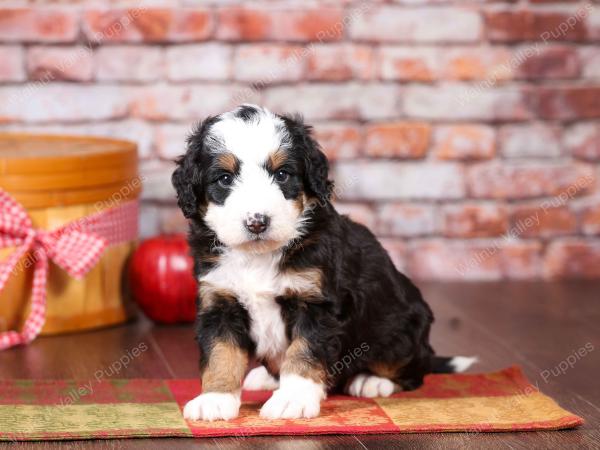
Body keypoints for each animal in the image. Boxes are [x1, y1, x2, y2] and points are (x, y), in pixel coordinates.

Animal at [170, 105, 474, 422]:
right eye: (225, 179)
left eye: (283, 174)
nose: (257, 222)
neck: (259, 255)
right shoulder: (219, 301)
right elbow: (221, 354)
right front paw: (214, 399)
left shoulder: (316, 302)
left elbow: (304, 353)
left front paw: (292, 400)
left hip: (403, 329)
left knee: (412, 369)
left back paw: (372, 381)